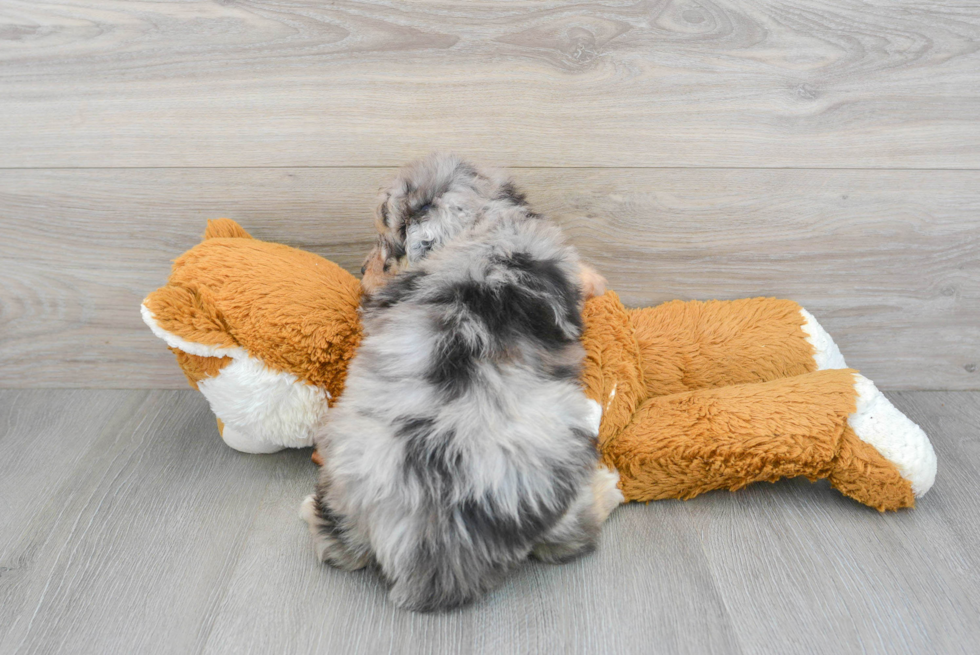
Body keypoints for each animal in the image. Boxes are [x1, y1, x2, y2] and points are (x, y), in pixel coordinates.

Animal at [300, 155, 620, 616]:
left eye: (386, 247)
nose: (361, 270)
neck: (478, 228)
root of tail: (430, 537)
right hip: (561, 459)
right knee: (569, 539)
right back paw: (608, 488)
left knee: (337, 544)